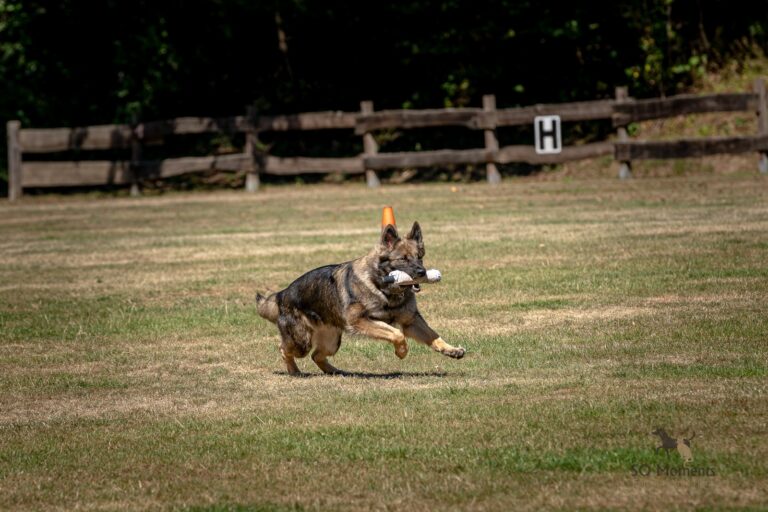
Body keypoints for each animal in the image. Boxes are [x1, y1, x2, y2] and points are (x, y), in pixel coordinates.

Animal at [255, 222, 464, 374]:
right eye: (403, 259)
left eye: (419, 256)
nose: (422, 272)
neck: (382, 286)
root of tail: (282, 294)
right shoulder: (361, 321)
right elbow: (397, 334)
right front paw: (402, 351)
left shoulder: (411, 321)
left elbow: (432, 335)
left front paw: (451, 349)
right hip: (302, 342)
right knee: (284, 349)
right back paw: (294, 371)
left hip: (331, 342)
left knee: (317, 356)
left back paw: (335, 371)